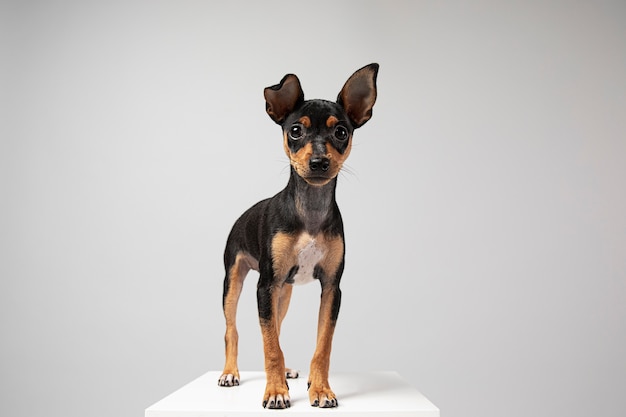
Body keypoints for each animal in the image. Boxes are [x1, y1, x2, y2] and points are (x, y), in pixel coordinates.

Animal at [217, 63, 378, 408]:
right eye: (295, 131)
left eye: (341, 132)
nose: (318, 162)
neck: (310, 212)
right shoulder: (265, 286)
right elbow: (269, 346)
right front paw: (276, 391)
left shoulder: (331, 288)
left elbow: (321, 346)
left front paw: (320, 389)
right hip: (235, 283)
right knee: (232, 330)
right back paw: (230, 373)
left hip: (283, 292)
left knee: (275, 328)